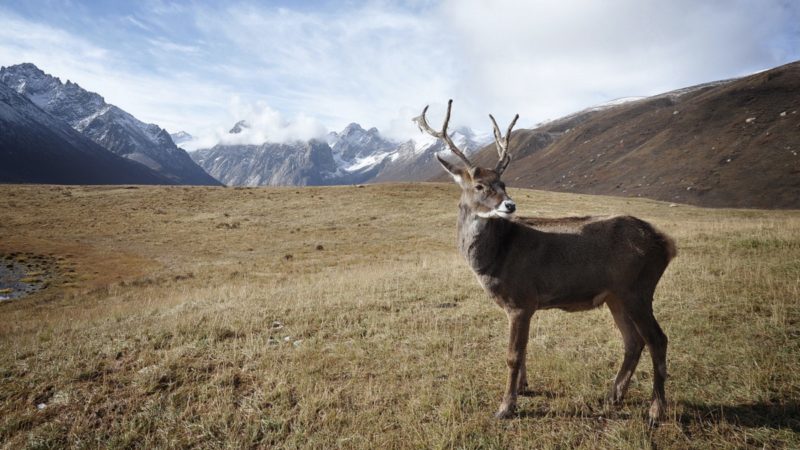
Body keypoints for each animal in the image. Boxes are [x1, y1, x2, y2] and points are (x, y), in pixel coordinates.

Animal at [416, 99, 680, 426]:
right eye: (479, 185)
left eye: (503, 182)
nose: (510, 204)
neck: (495, 258)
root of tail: (666, 243)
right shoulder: (524, 305)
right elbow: (524, 349)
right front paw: (524, 388)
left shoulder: (521, 299)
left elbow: (513, 355)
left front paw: (505, 407)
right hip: (616, 295)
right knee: (633, 341)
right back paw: (613, 396)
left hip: (638, 288)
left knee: (657, 339)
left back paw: (656, 410)